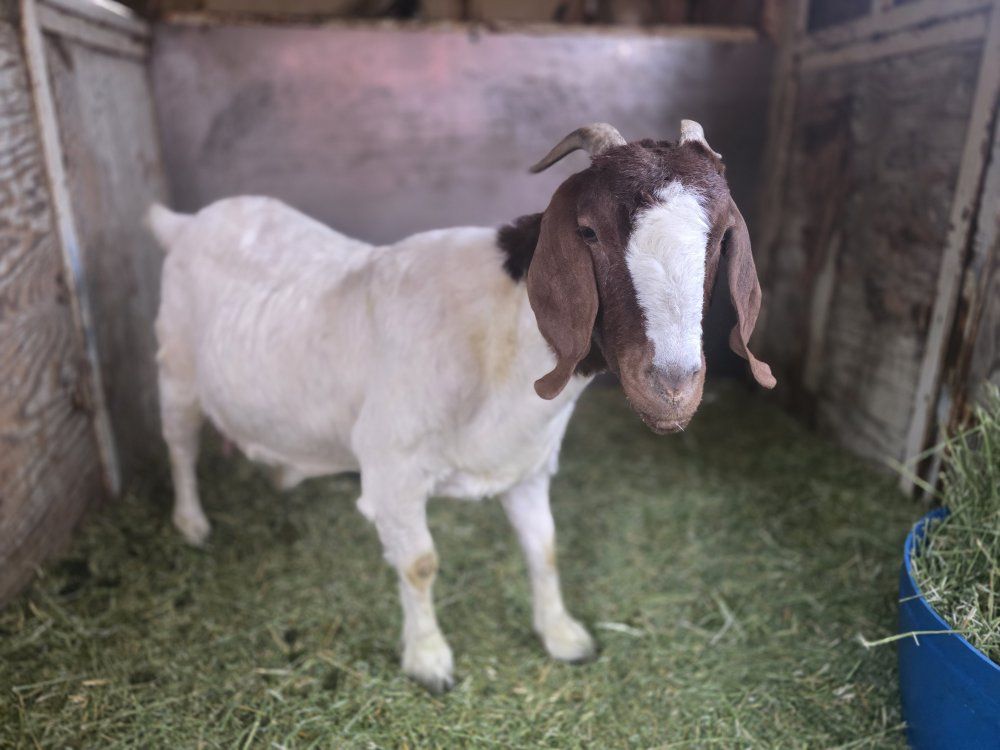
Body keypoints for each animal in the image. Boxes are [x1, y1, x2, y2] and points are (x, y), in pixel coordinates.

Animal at [148, 120, 775, 693]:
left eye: (721, 236)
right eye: (590, 231)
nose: (671, 386)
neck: (497, 338)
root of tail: (183, 224)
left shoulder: (528, 466)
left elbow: (544, 548)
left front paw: (563, 636)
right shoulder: (392, 471)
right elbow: (420, 563)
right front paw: (429, 661)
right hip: (175, 367)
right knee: (178, 444)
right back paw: (192, 523)